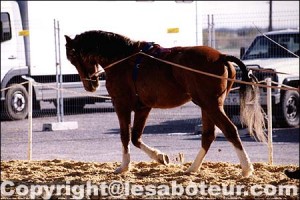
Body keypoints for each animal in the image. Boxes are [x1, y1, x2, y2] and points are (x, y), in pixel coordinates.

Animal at [65, 29, 264, 177]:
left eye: (72, 56)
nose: (90, 84)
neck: (123, 59)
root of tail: (221, 56)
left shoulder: (121, 105)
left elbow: (125, 136)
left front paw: (124, 166)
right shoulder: (143, 108)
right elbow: (136, 137)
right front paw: (160, 157)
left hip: (211, 105)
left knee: (229, 130)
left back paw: (246, 169)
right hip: (208, 106)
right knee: (208, 135)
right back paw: (193, 168)